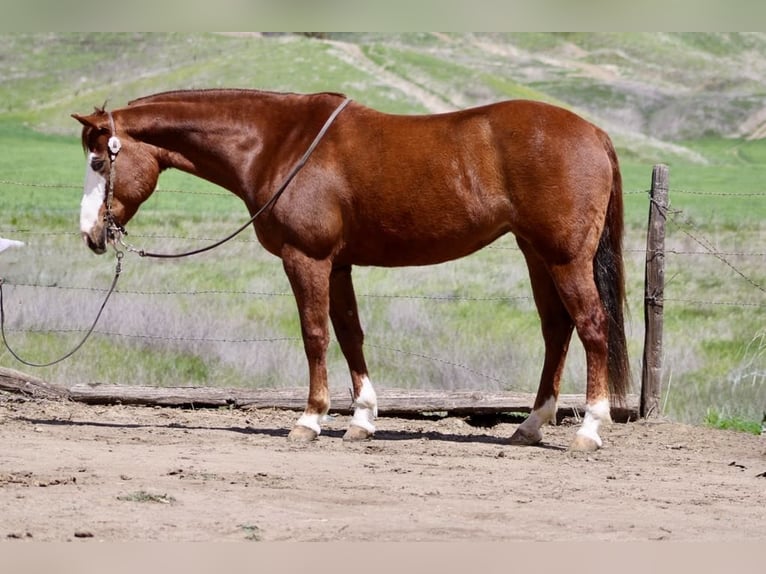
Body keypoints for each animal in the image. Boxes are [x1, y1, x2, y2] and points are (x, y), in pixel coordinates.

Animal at [73, 88, 630, 451]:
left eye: (99, 162)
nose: (90, 234)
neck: (279, 143)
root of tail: (596, 133)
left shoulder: (307, 259)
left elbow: (315, 335)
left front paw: (310, 420)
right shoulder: (338, 265)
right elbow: (349, 334)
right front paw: (361, 420)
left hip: (565, 258)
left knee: (591, 326)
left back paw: (588, 429)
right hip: (537, 254)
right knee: (557, 329)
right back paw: (531, 426)